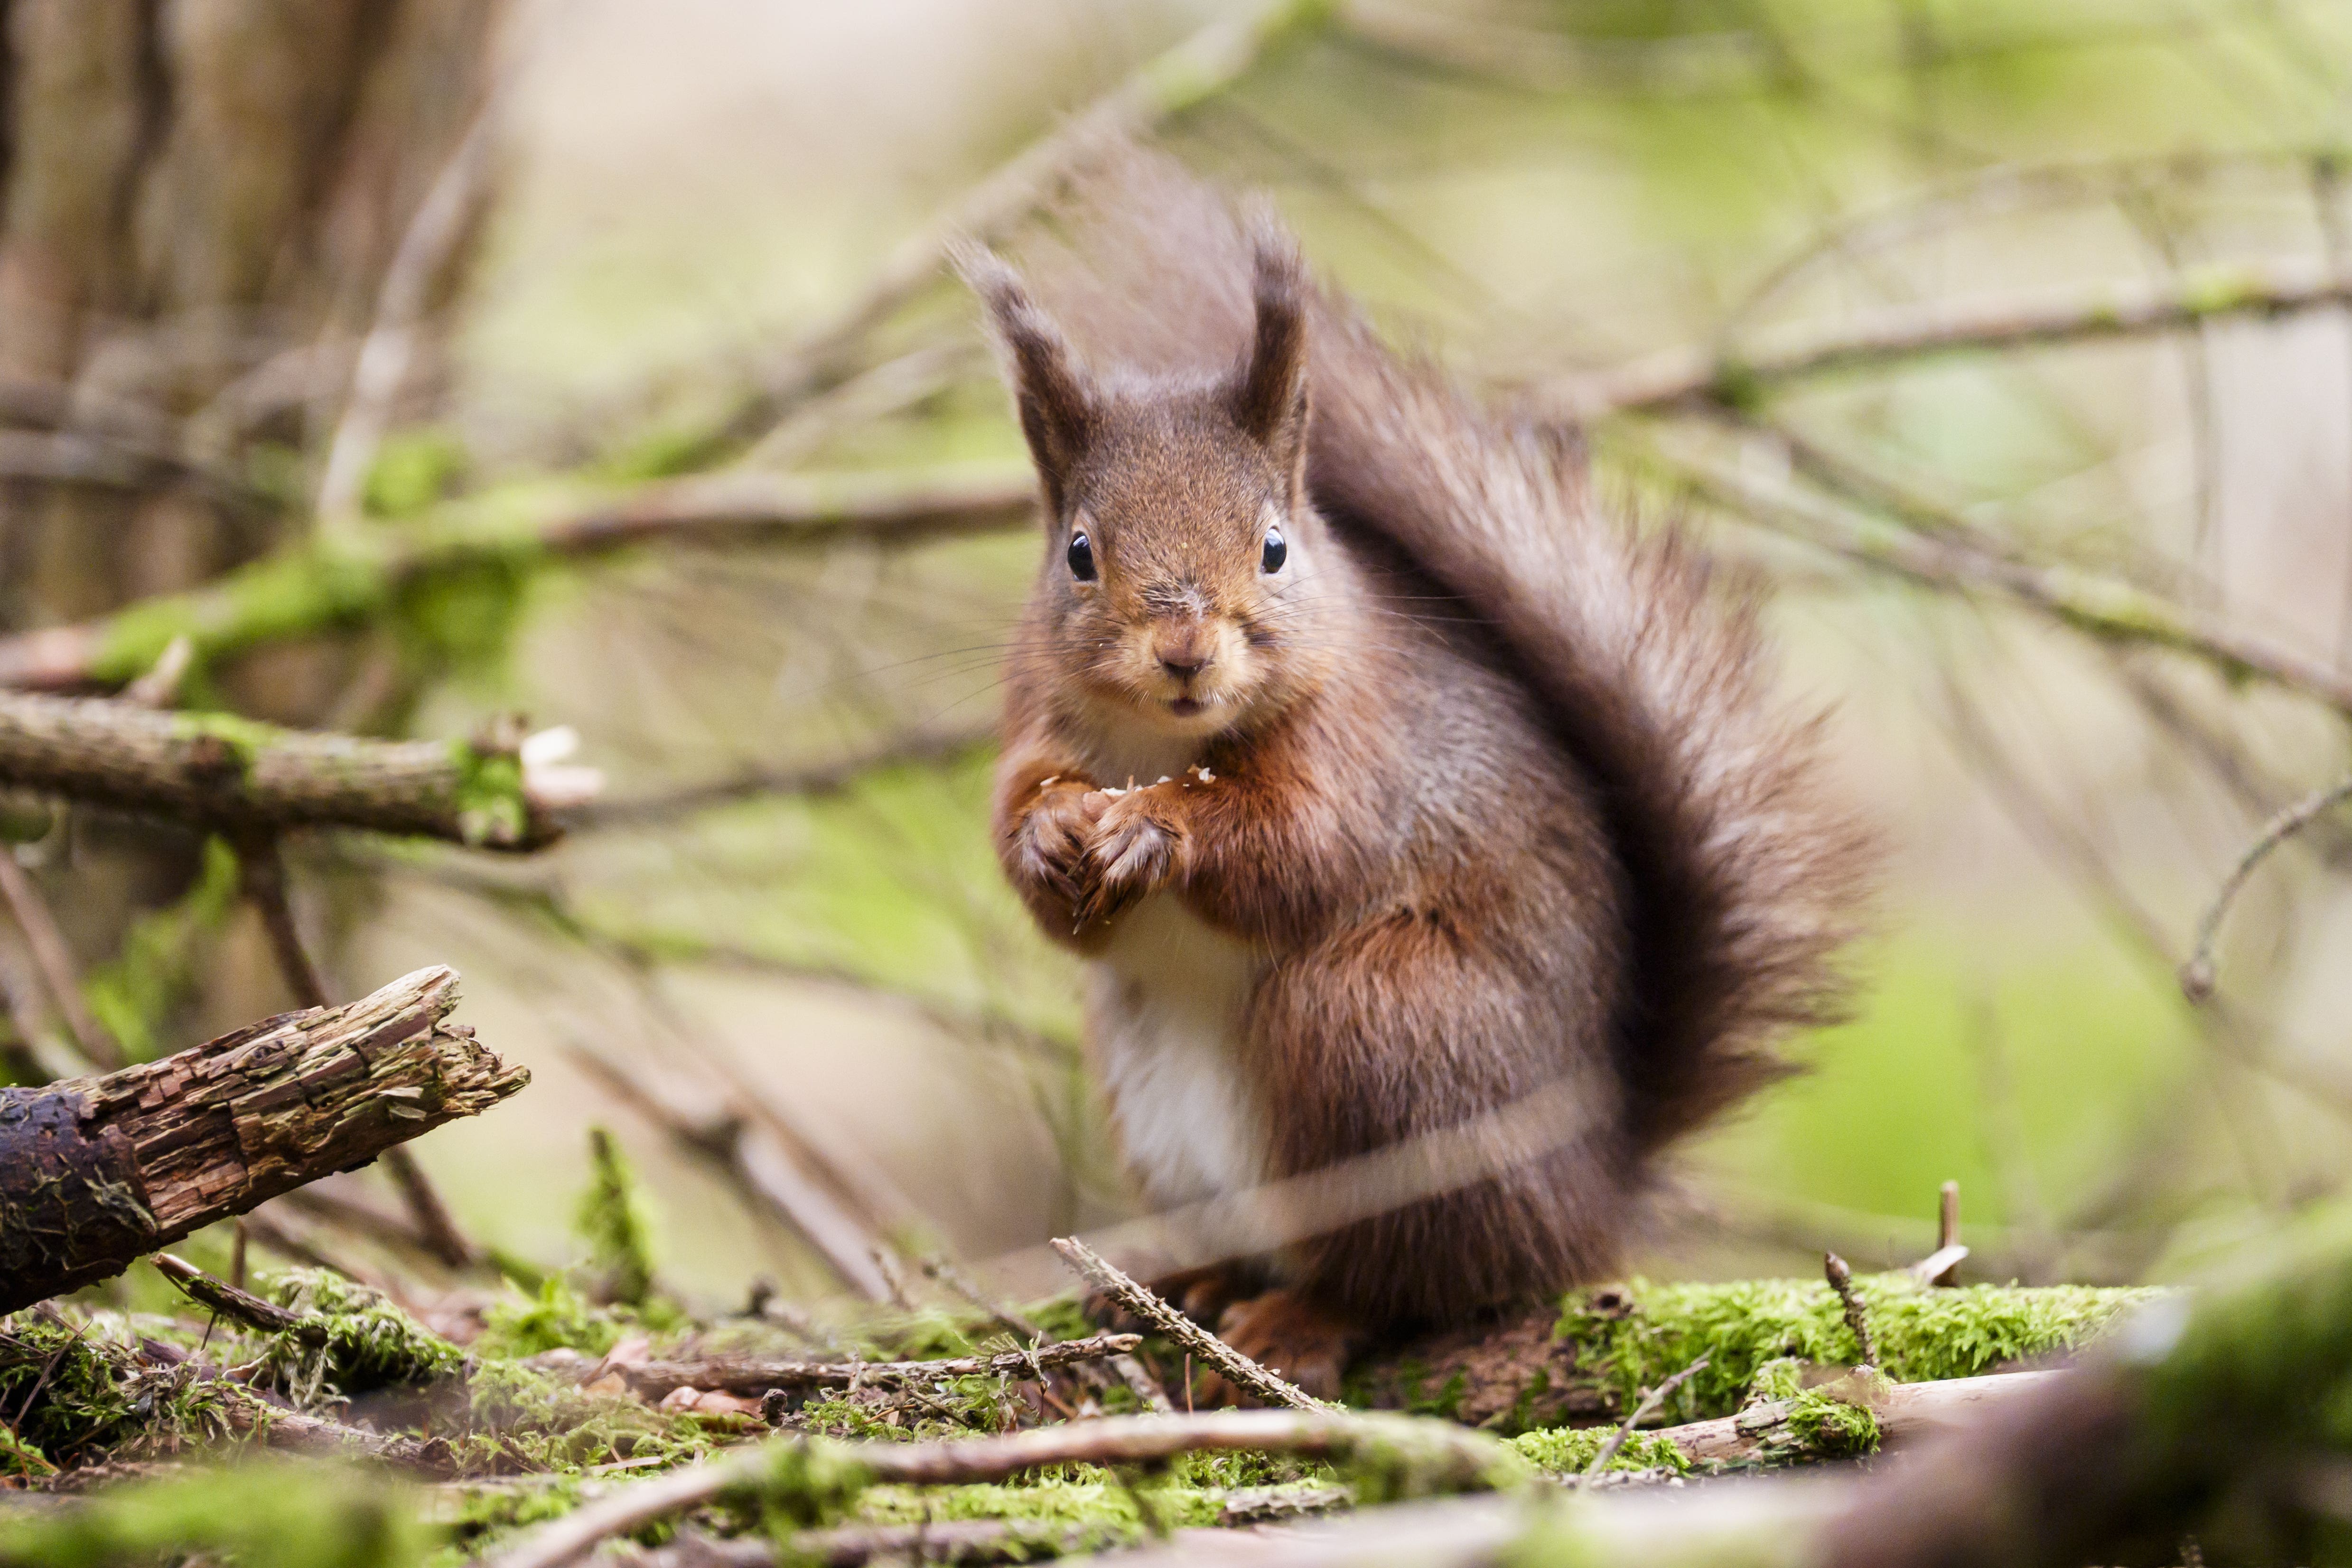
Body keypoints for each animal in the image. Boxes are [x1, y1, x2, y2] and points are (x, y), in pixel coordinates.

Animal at [960, 150, 1869, 1400]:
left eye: (1276, 546)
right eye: (1079, 553)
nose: (1186, 650)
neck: (1160, 743)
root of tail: (1593, 1185)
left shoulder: (1359, 750)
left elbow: (1298, 850)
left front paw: (1159, 832)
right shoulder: (1033, 723)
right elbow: (1038, 860)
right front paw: (1053, 834)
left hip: (1383, 1031)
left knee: (1414, 1277)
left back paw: (1301, 1317)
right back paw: (1190, 1282)